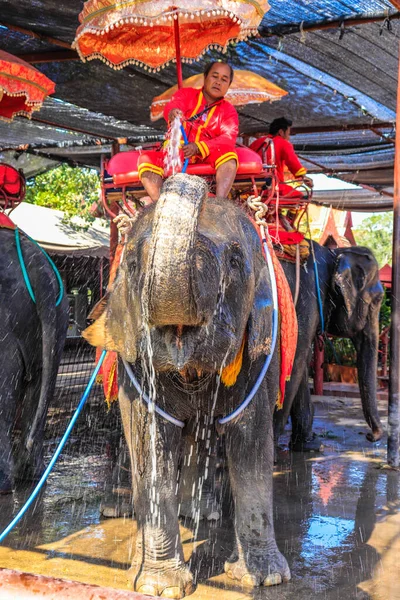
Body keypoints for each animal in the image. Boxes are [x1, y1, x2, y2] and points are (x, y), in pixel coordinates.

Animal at [84, 172, 290, 596]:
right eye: (131, 263)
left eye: (235, 261)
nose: (193, 177)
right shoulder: (134, 360)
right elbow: (150, 440)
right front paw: (158, 587)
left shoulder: (264, 349)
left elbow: (250, 439)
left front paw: (264, 579)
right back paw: (126, 523)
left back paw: (203, 514)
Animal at [276, 239, 384, 450]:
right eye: (377, 300)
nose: (370, 436)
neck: (334, 254)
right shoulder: (308, 298)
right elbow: (294, 361)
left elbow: (301, 363)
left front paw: (307, 445)